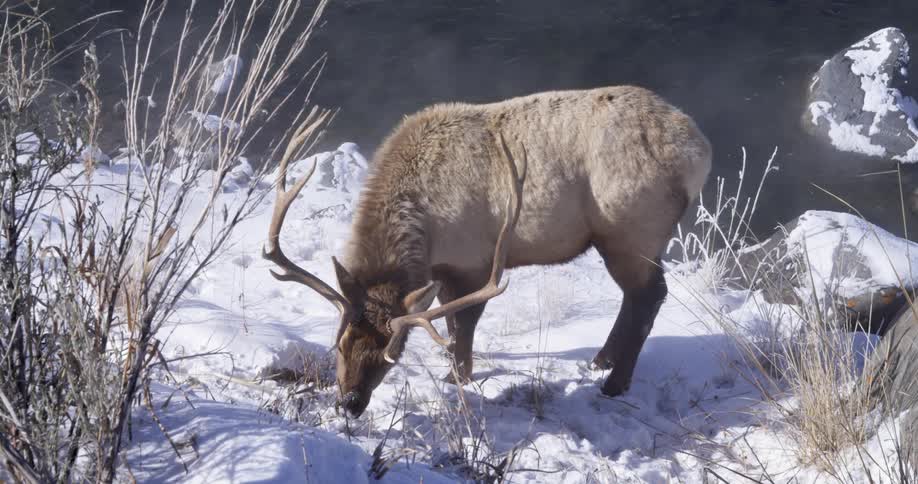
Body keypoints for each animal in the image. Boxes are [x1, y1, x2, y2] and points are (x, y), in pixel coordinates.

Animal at [264, 85, 712, 418]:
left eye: (391, 353)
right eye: (340, 344)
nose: (349, 404)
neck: (426, 227)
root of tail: (700, 152)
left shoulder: (474, 261)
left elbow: (463, 323)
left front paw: (457, 377)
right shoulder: (443, 268)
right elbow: (450, 322)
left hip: (632, 229)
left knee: (649, 295)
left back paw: (614, 384)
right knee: (635, 298)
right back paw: (601, 360)